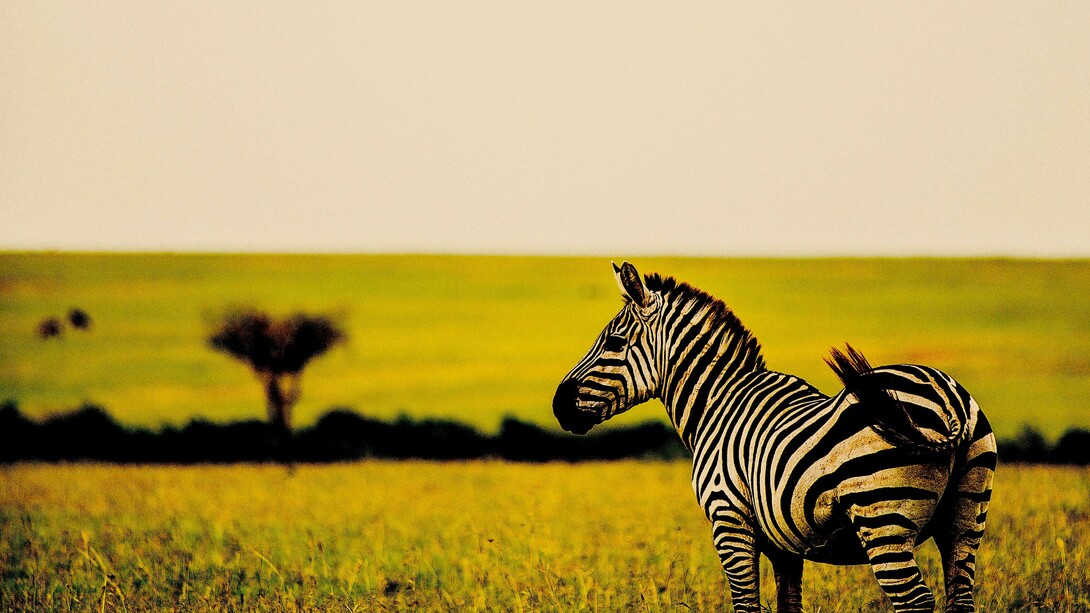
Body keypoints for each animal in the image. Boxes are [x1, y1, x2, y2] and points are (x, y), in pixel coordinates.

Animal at [552, 262, 996, 613]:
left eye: (614, 342)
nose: (558, 405)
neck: (718, 401)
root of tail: (949, 400)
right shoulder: (785, 543)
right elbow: (789, 604)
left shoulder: (729, 519)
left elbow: (747, 605)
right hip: (965, 517)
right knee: (961, 596)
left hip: (883, 517)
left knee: (915, 600)